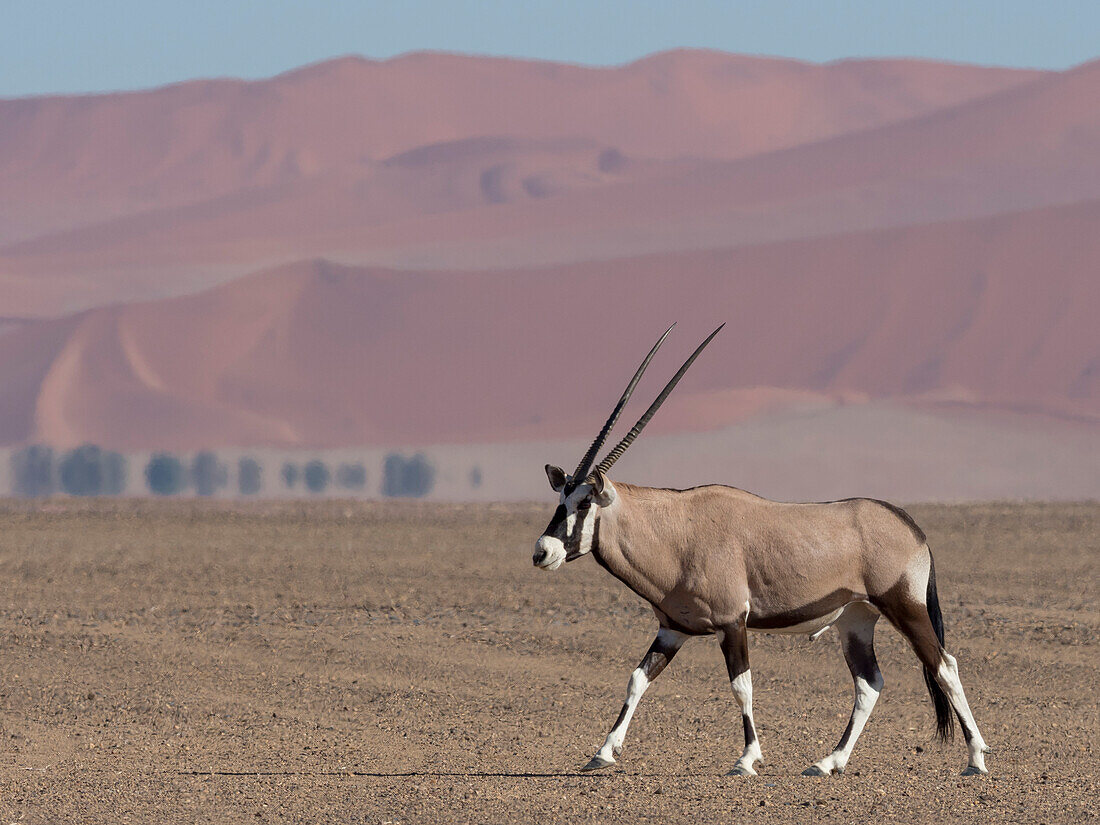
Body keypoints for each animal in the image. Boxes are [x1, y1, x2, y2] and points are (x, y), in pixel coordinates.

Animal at [530, 325, 990, 778]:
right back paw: (829, 761)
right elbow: (637, 679)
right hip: (856, 620)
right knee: (869, 683)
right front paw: (603, 752)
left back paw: (976, 758)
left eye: (584, 504)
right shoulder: (673, 628)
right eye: (561, 499)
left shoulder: (732, 622)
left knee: (944, 667)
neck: (677, 533)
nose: (542, 552)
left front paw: (747, 758)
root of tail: (911, 526)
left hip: (904, 607)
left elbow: (741, 686)